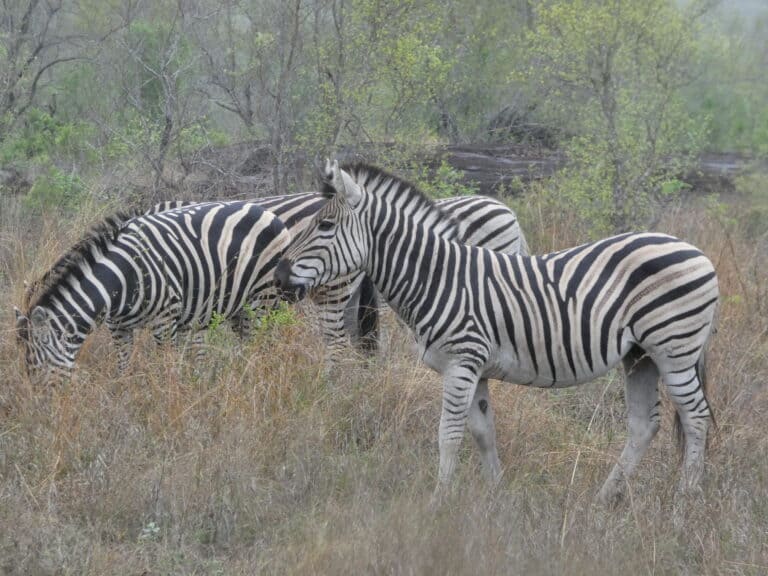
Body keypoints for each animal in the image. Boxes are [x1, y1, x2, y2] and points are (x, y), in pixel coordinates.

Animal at [15, 201, 290, 384]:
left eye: (36, 364)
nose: (41, 410)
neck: (121, 278)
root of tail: (268, 212)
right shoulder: (118, 328)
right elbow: (123, 368)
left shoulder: (164, 322)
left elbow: (166, 371)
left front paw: (166, 405)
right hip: (238, 307)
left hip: (262, 299)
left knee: (260, 344)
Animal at [274, 160, 719, 504]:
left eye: (325, 225)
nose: (278, 275)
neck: (437, 279)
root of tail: (698, 252)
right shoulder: (477, 369)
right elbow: (482, 432)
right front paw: (496, 495)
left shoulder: (462, 362)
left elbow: (448, 434)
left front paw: (438, 502)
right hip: (640, 355)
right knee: (645, 424)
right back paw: (604, 498)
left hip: (674, 349)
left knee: (696, 417)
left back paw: (685, 500)